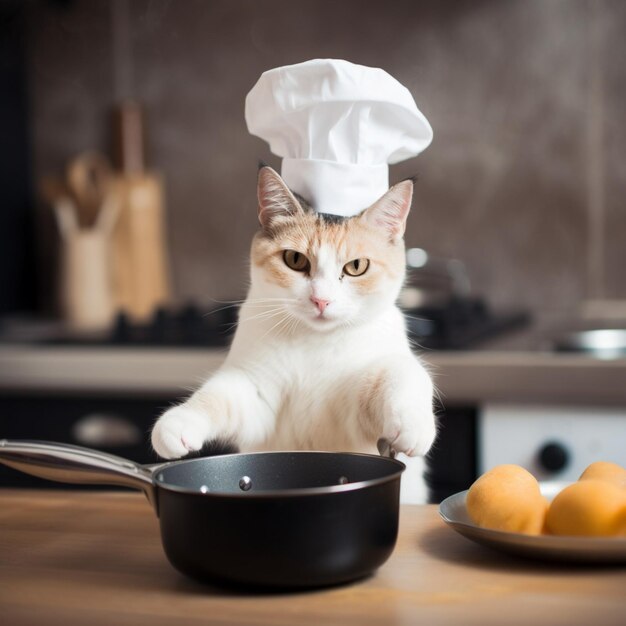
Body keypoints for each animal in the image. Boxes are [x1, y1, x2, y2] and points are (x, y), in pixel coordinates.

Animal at [151, 166, 434, 502]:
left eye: (356, 266)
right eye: (295, 260)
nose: (321, 300)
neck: (313, 342)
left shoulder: (355, 403)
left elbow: (400, 374)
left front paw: (413, 424)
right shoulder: (255, 396)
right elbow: (216, 397)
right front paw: (178, 423)